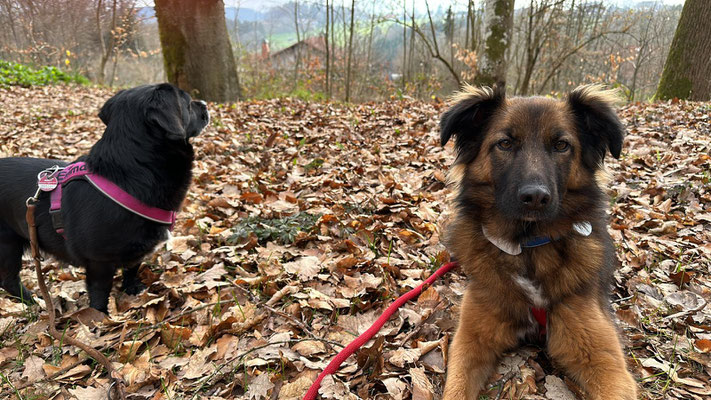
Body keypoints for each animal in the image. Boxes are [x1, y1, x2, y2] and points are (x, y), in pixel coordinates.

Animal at [0, 83, 209, 312]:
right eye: (187, 103)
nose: (205, 104)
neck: (128, 176)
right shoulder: (99, 262)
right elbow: (100, 292)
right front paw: (99, 316)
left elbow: (132, 268)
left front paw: (132, 288)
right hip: (8, 245)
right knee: (9, 281)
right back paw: (34, 302)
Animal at [442, 85, 636, 400]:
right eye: (505, 143)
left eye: (561, 145)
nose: (535, 197)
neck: (528, 246)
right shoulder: (470, 341)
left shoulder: (604, 360)